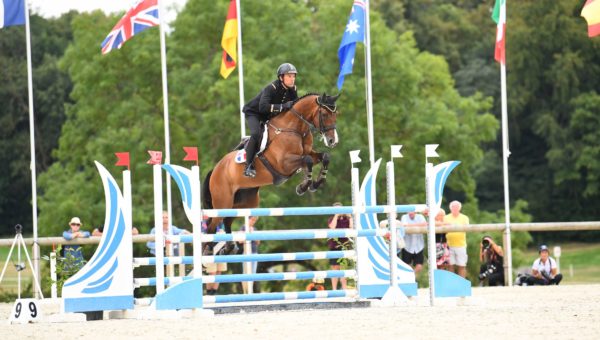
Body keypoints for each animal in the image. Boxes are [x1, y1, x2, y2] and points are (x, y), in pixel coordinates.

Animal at [203, 93, 340, 255]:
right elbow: (307, 160)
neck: (294, 128)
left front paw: (316, 183)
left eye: (336, 114)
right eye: (324, 114)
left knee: (226, 220)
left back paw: (229, 247)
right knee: (212, 225)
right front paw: (304, 186)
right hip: (223, 201)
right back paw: (208, 250)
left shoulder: (308, 154)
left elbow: (324, 157)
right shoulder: (283, 163)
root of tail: (215, 170)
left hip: (243, 203)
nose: (332, 141)